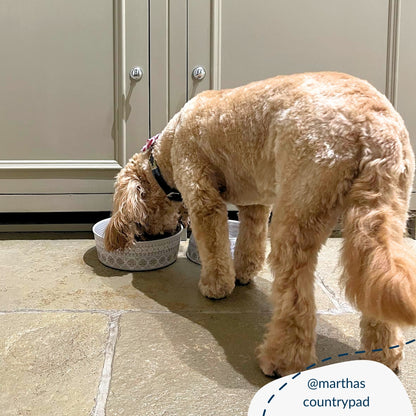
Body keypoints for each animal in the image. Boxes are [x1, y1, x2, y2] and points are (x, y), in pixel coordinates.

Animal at [104, 71, 416, 376]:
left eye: (141, 221)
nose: (152, 236)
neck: (164, 153)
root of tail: (373, 124)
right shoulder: (254, 204)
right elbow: (248, 243)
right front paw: (242, 273)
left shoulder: (204, 199)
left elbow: (214, 250)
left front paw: (216, 286)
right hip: (386, 213)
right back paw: (385, 354)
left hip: (297, 215)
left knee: (295, 300)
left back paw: (281, 361)